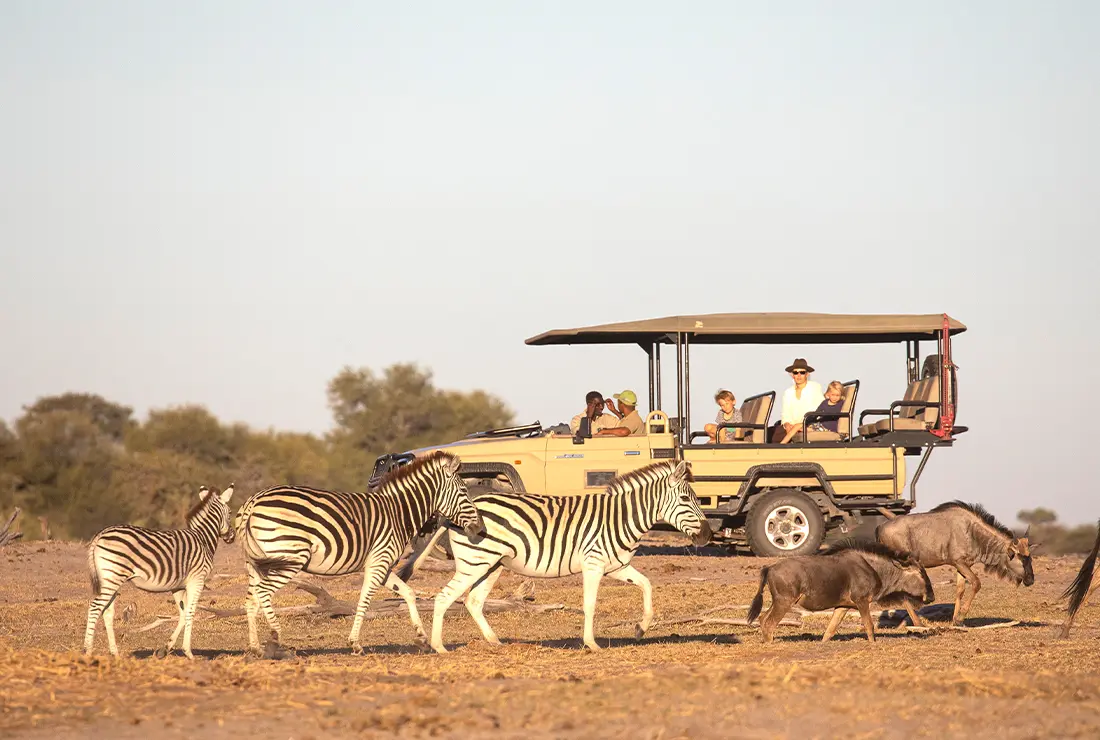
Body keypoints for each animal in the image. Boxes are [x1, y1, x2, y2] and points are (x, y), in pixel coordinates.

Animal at [83, 484, 236, 659]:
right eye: (230, 512)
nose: (232, 536)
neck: (203, 538)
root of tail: (101, 534)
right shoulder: (197, 580)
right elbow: (190, 612)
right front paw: (189, 653)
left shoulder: (178, 586)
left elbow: (182, 613)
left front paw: (165, 649)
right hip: (113, 576)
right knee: (95, 607)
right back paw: (87, 651)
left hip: (109, 578)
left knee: (107, 611)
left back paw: (115, 653)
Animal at [234, 450, 483, 655]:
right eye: (464, 491)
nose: (480, 529)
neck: (398, 512)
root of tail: (253, 501)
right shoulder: (379, 561)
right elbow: (364, 600)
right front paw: (355, 644)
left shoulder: (381, 564)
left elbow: (408, 593)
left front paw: (421, 638)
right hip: (291, 558)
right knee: (263, 593)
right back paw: (276, 638)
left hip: (256, 563)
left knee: (251, 599)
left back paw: (256, 648)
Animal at [424, 460, 712, 653]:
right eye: (686, 498)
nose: (708, 535)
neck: (620, 517)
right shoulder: (594, 564)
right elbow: (590, 604)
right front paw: (591, 643)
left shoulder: (617, 566)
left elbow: (647, 586)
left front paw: (640, 629)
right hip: (474, 563)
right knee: (444, 597)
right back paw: (438, 646)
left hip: (491, 564)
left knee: (473, 601)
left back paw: (494, 641)